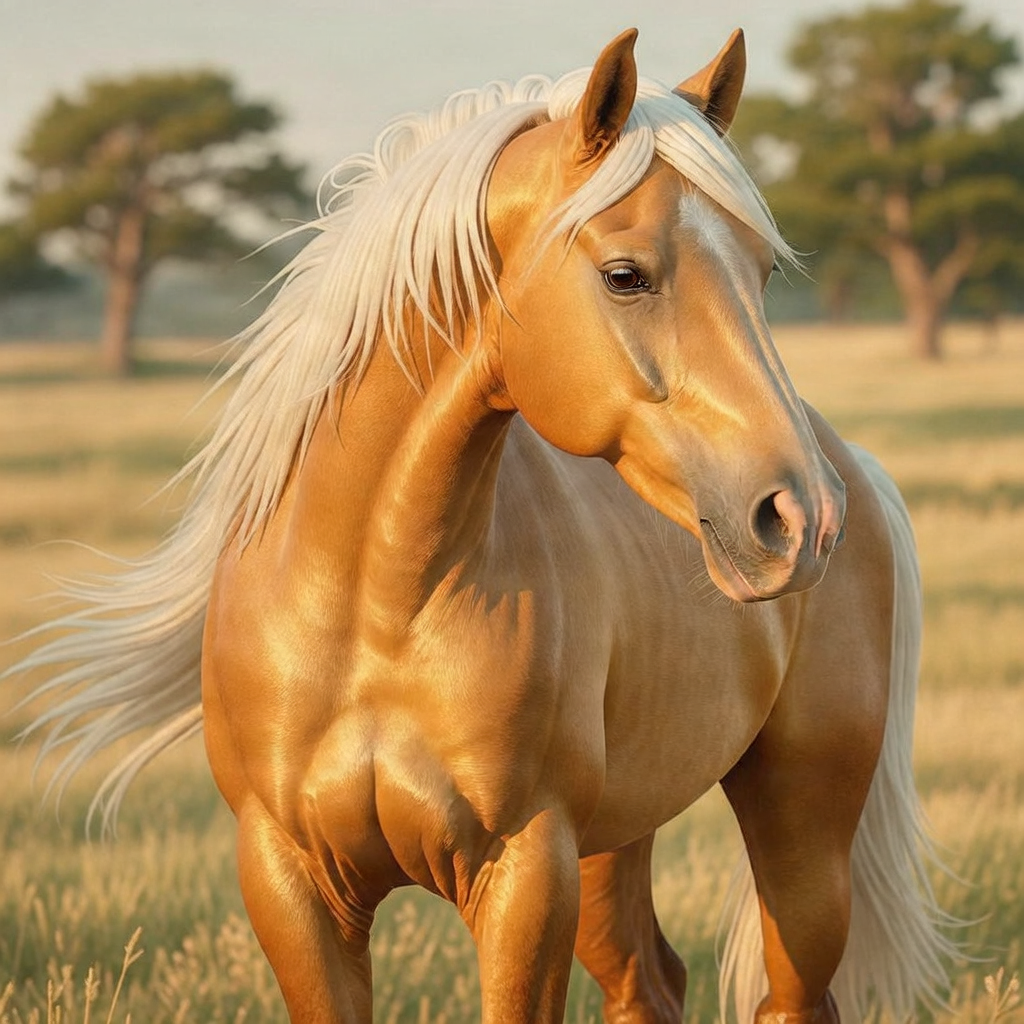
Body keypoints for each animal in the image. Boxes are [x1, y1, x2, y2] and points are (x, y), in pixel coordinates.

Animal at [7, 27, 954, 1024]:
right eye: (625, 275)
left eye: (764, 271)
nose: (800, 517)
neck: (372, 605)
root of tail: (852, 463)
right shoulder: (291, 883)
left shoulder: (524, 874)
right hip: (618, 839)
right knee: (649, 979)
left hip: (800, 831)